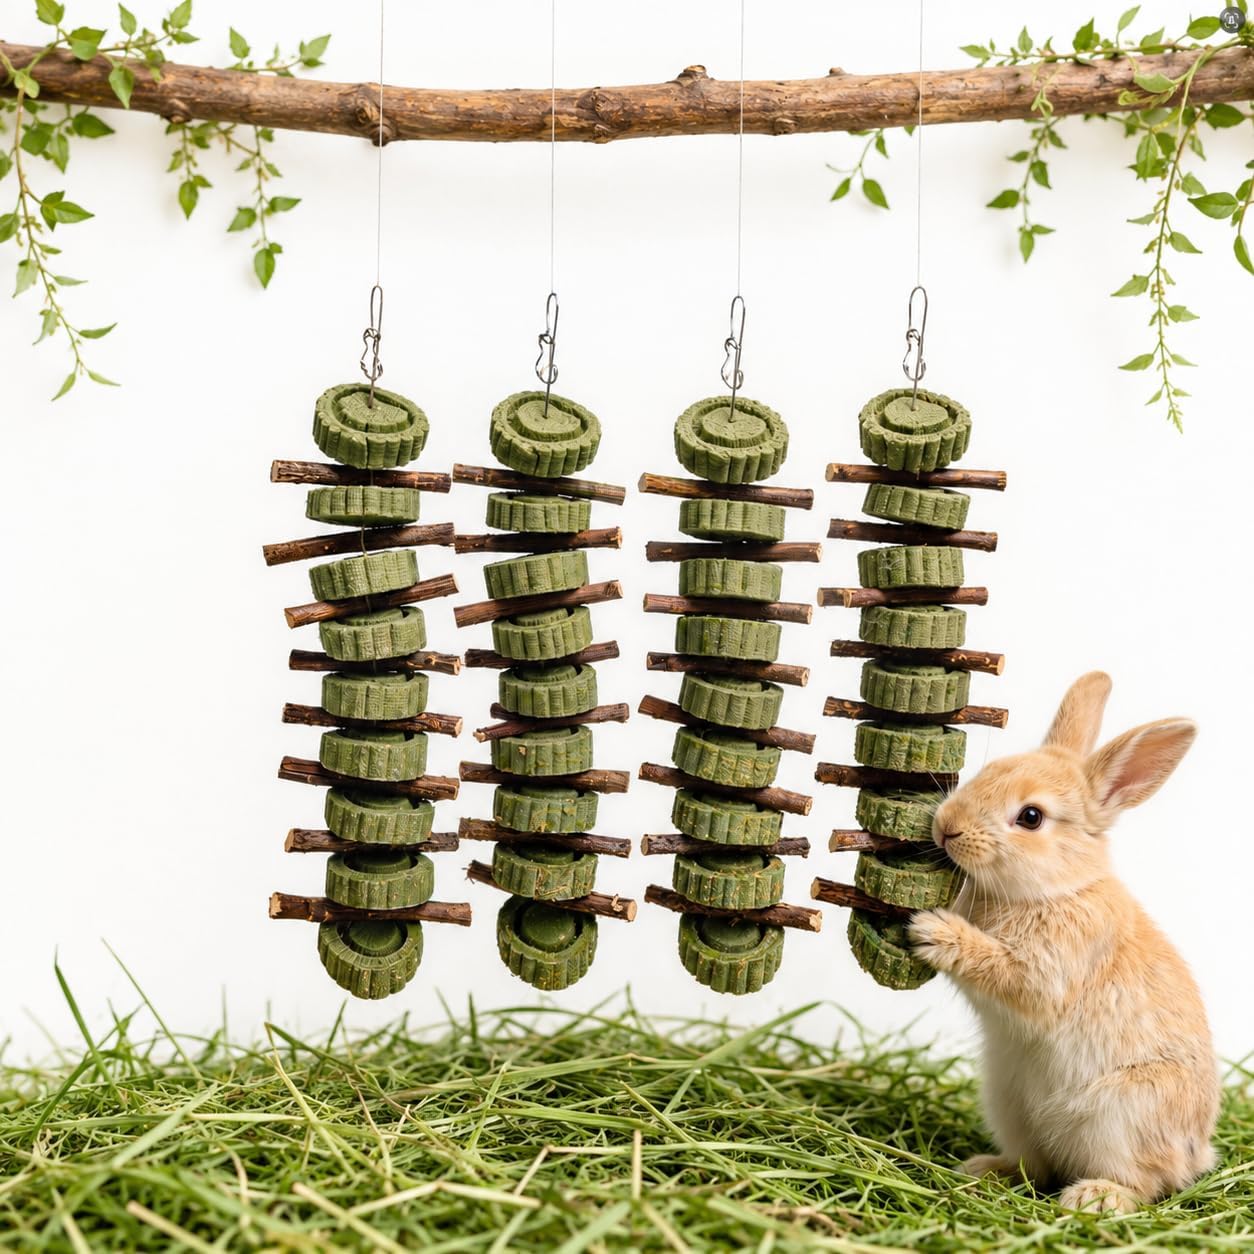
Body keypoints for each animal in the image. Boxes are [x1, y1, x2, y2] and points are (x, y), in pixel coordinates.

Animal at [907, 671, 1218, 1214]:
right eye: (989, 770)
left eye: (1031, 817)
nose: (947, 827)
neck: (1057, 889)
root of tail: (1197, 1153)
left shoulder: (1048, 971)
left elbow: (1005, 972)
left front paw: (931, 931)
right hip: (1006, 1100)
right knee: (1036, 1165)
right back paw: (985, 1170)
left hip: (1117, 1118)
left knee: (1145, 1184)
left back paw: (1094, 1199)